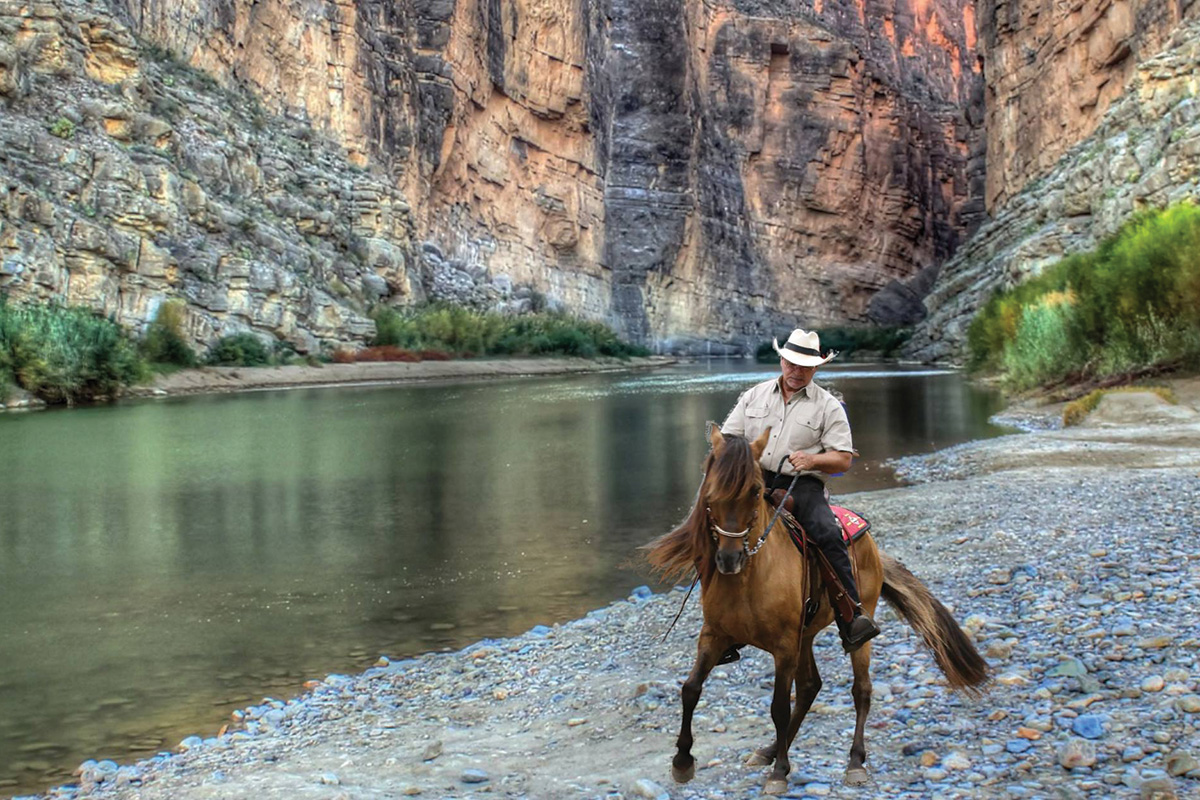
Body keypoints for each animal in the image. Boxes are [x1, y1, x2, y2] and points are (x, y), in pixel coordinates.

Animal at [648, 429, 993, 791]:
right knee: (810, 687)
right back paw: (770, 750)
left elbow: (779, 707)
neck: (750, 577)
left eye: (754, 490)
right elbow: (690, 689)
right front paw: (682, 761)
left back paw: (853, 762)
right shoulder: (715, 635)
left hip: (857, 628)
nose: (729, 559)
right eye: (711, 489)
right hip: (806, 635)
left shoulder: (784, 646)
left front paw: (779, 773)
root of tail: (872, 544)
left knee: (860, 689)